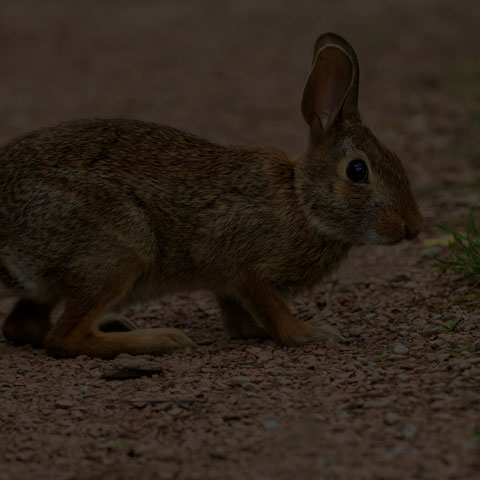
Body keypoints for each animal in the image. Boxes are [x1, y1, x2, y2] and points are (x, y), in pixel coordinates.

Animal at [0, 33, 420, 356]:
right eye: (358, 171)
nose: (412, 228)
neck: (301, 201)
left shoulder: (230, 287)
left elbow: (239, 318)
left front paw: (255, 332)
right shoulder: (247, 266)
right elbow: (275, 313)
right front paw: (312, 333)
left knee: (24, 326)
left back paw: (119, 325)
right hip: (120, 249)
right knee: (64, 337)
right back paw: (160, 340)